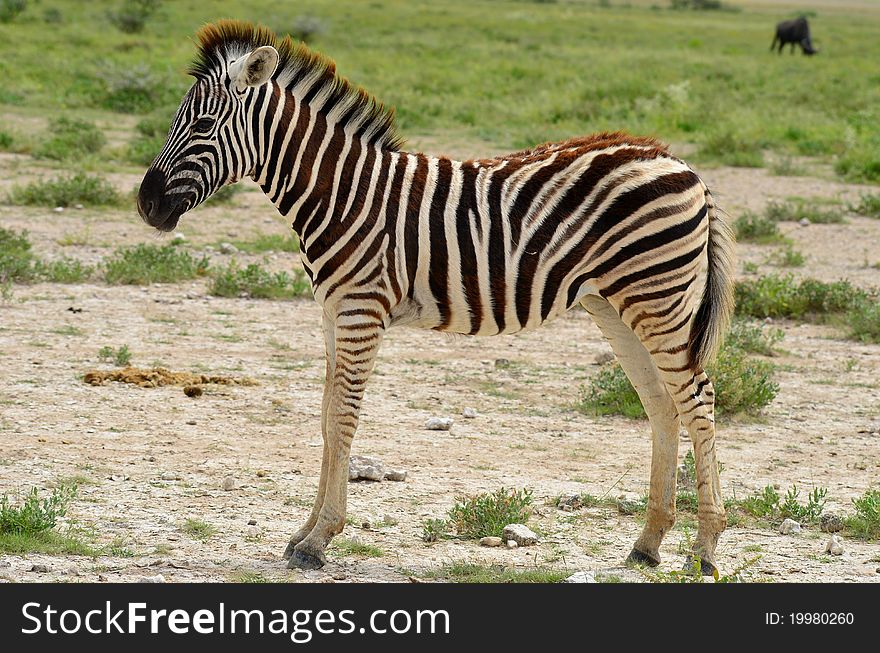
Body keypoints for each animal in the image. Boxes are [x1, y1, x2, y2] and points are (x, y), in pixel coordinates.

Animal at [138, 19, 740, 572]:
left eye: (203, 124)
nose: (147, 205)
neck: (342, 194)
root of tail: (677, 160)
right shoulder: (331, 314)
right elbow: (327, 416)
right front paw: (303, 532)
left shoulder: (360, 311)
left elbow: (345, 417)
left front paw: (319, 539)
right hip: (613, 303)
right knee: (662, 404)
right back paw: (648, 544)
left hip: (658, 297)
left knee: (699, 399)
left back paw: (706, 548)